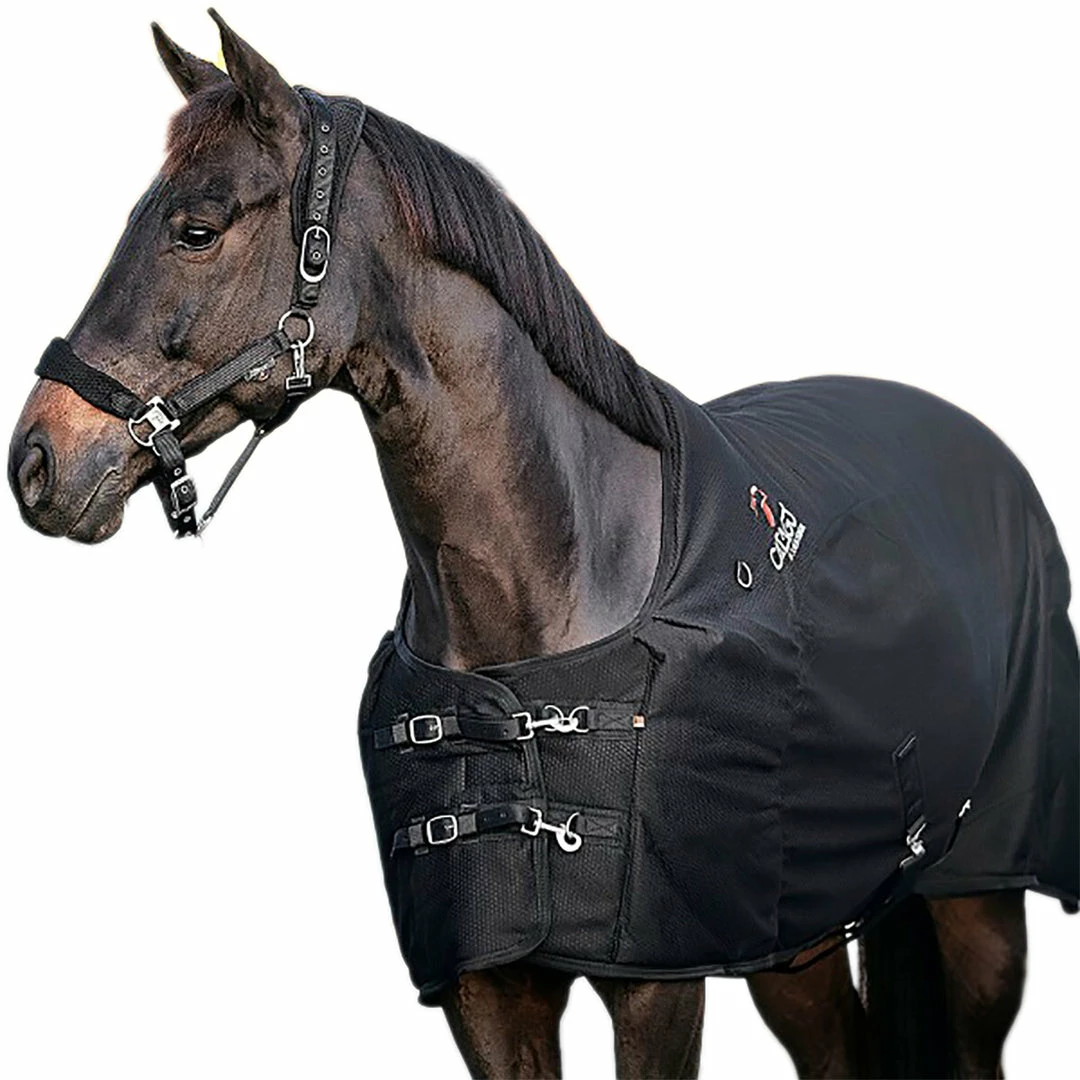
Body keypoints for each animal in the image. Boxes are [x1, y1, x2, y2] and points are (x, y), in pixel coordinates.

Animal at [8, 13, 1077, 1079]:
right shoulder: (488, 994)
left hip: (978, 904)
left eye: (197, 227)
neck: (555, 582)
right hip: (790, 936)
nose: (38, 462)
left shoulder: (658, 987)